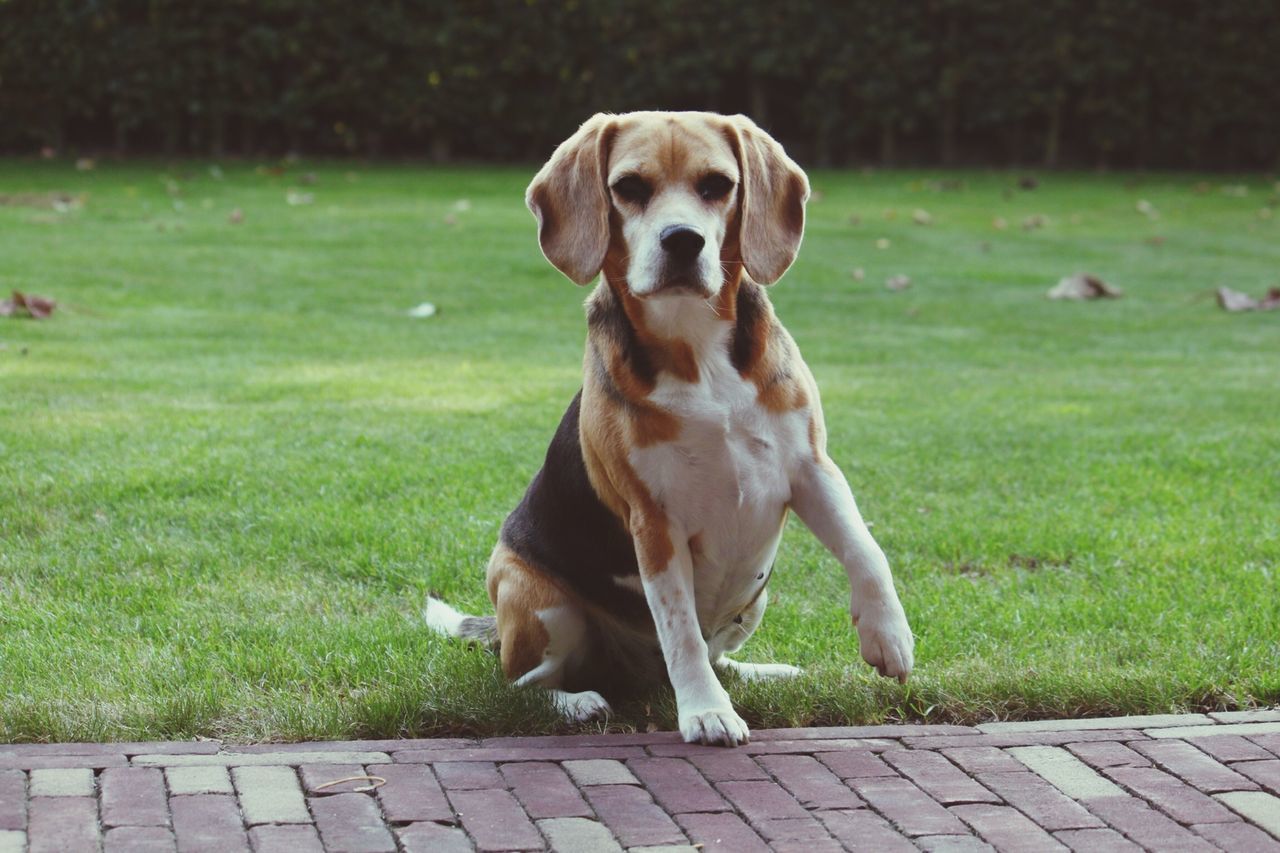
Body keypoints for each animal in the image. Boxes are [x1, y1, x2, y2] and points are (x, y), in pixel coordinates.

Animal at [435, 109, 916, 742]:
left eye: (717, 185)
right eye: (628, 188)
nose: (683, 239)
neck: (696, 347)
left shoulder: (813, 469)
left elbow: (866, 550)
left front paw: (889, 636)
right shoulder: (655, 523)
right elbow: (679, 629)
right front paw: (707, 712)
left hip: (756, 597)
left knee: (717, 654)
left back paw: (760, 672)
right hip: (534, 597)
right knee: (520, 686)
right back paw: (578, 702)